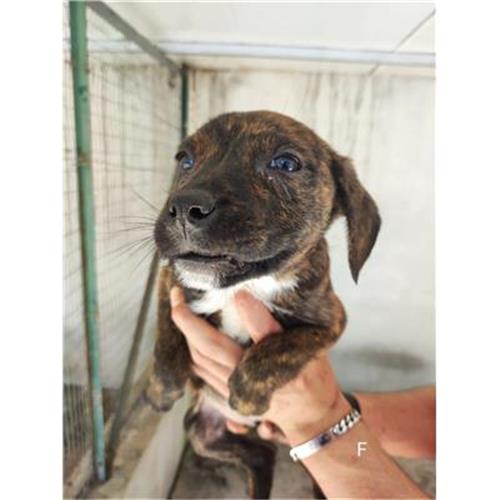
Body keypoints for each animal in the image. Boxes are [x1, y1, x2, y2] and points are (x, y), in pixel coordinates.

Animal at [146, 110, 381, 498]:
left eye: (285, 163)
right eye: (185, 160)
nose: (183, 207)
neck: (245, 286)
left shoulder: (331, 319)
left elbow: (283, 347)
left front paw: (245, 393)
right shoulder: (171, 279)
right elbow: (167, 326)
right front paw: (162, 388)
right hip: (202, 433)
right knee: (261, 454)